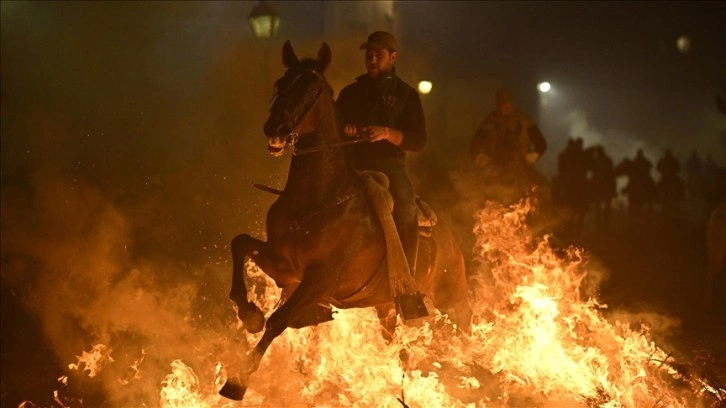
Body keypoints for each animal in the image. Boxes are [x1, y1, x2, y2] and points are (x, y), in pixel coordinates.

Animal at [219, 42, 474, 402]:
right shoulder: (284, 264)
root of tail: (451, 239)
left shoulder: (321, 278)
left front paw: (238, 381)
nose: (275, 129)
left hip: (454, 302)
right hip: (386, 309)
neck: (318, 199)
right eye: (281, 83)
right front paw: (249, 313)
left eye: (312, 88)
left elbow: (279, 319)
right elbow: (239, 243)